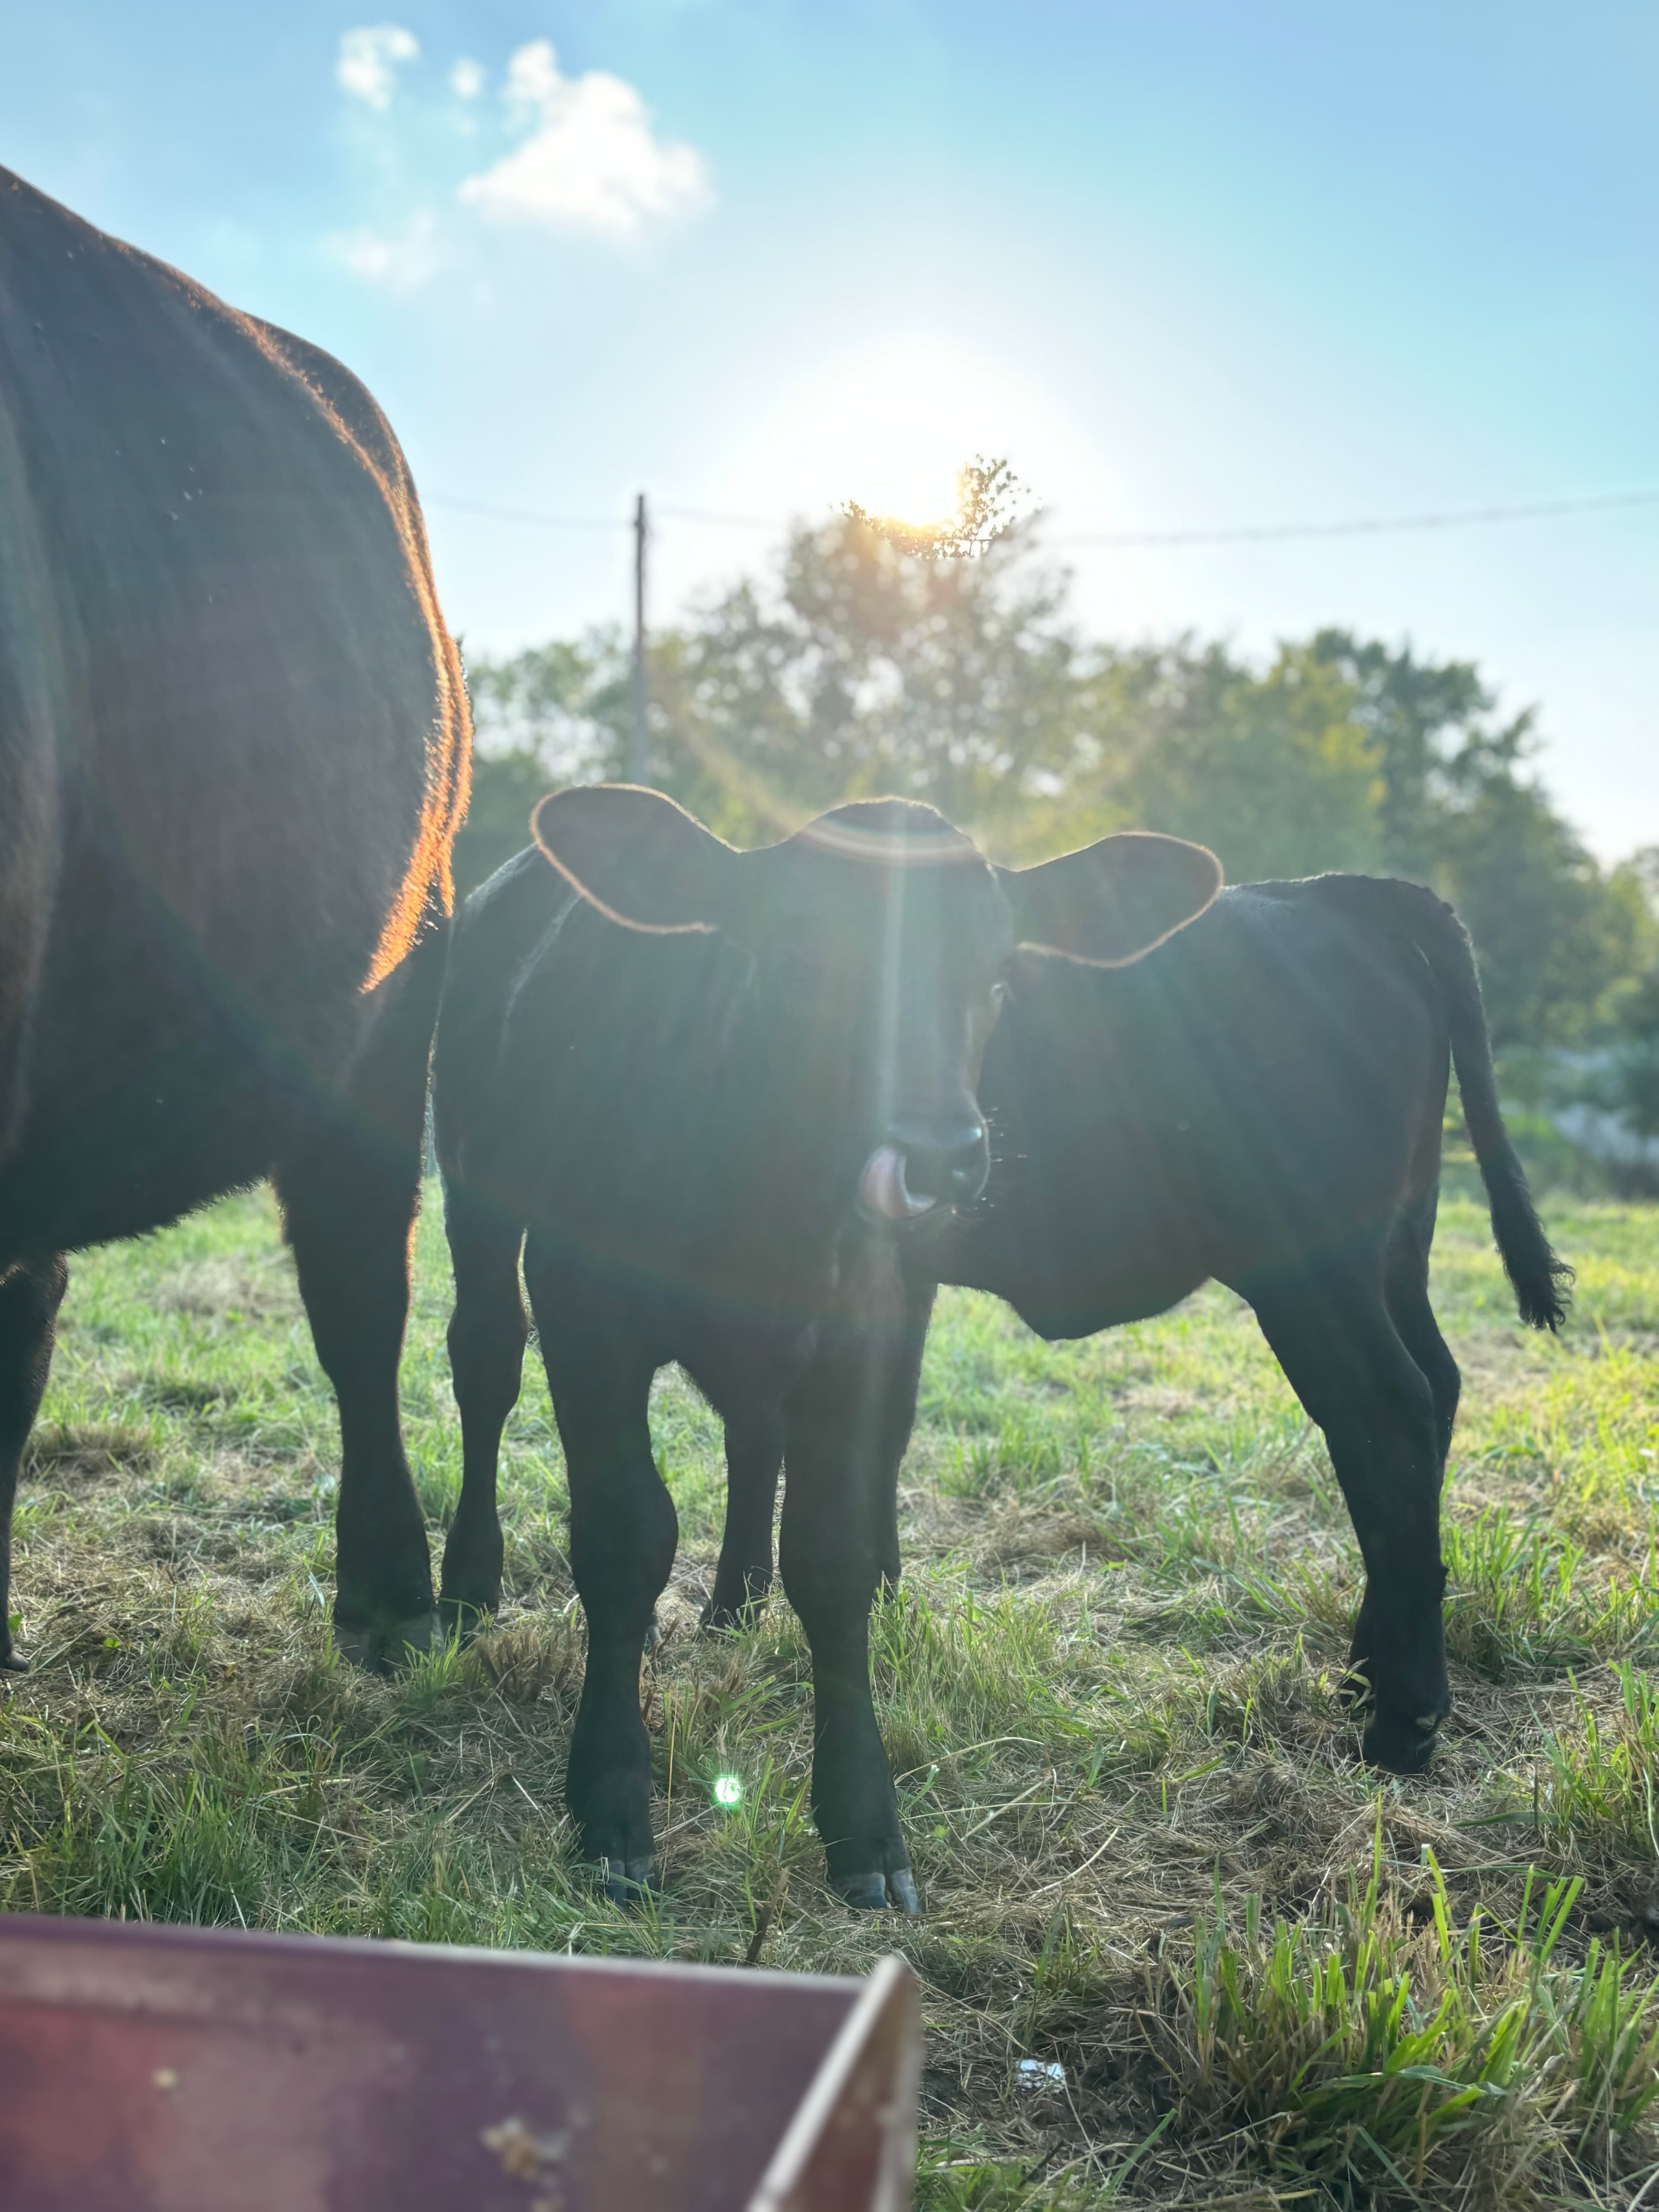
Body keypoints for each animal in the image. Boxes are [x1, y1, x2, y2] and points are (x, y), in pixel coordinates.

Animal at [431, 787, 1220, 1908]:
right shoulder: (587, 1309)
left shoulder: (865, 1320)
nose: (939, 1151)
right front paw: (611, 1799)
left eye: (995, 970)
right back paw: (467, 1583)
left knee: (776, 1434)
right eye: (803, 957)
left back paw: (740, 1598)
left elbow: (832, 1551)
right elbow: (623, 1536)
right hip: (472, 1181)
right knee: (487, 1364)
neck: (771, 1202)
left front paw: (864, 1824)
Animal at [708, 873, 1570, 1780]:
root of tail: (1322, 893)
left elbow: (762, 1431)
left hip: (1311, 1269)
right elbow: (879, 1424)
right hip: (1398, 1250)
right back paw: (1365, 1674)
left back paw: (1403, 1720)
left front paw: (736, 1610)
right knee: (1436, 1388)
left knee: (1388, 1414)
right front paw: (874, 1595)